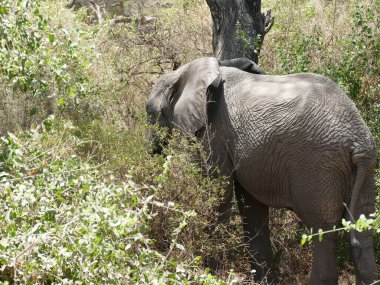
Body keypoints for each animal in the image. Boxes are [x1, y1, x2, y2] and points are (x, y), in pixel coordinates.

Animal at [145, 56, 378, 282]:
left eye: (149, 113)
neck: (184, 71)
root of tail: (358, 141)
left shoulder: (212, 131)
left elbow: (216, 192)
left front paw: (206, 269)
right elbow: (251, 205)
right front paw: (263, 279)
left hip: (319, 165)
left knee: (322, 228)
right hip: (364, 172)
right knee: (362, 228)